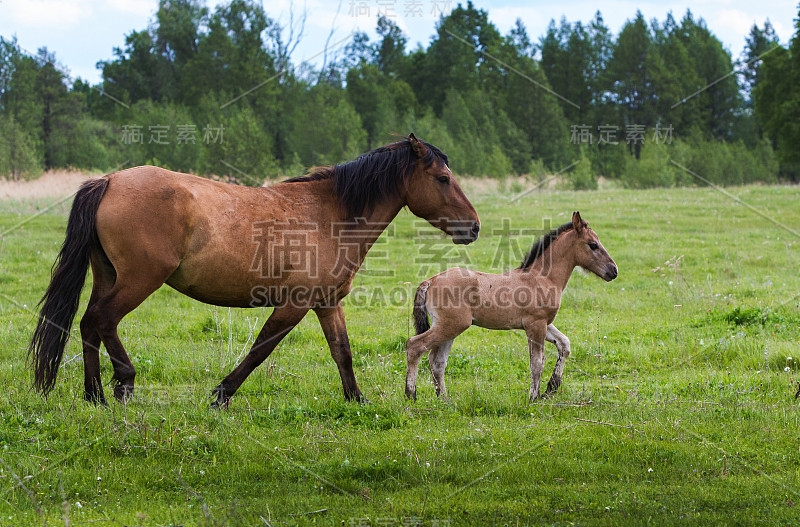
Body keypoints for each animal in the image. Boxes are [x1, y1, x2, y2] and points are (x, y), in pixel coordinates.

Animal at [31, 134, 478, 406]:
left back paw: (95, 397)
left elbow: (343, 353)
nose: (473, 227)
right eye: (442, 178)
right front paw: (221, 395)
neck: (330, 214)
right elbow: (260, 350)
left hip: (109, 277)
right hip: (139, 281)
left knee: (89, 324)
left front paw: (357, 400)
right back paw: (123, 383)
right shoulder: (294, 305)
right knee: (103, 320)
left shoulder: (326, 304)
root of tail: (108, 181)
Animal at [406, 212, 620, 402]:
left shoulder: (544, 323)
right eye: (593, 245)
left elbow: (564, 345)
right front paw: (533, 398)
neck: (541, 278)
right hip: (450, 326)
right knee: (414, 346)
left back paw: (444, 400)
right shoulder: (535, 325)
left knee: (437, 361)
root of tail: (430, 281)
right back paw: (411, 395)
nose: (614, 271)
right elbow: (537, 363)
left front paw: (552, 386)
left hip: (450, 327)